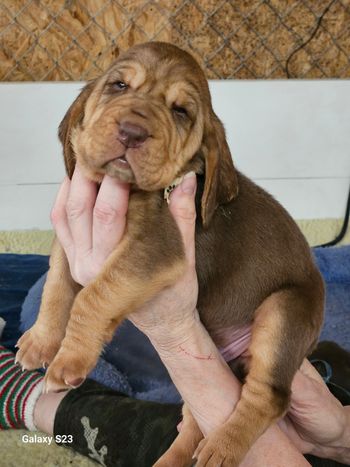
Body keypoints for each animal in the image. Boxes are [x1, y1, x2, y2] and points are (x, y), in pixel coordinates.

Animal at [15, 42, 322, 466]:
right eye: (118, 85)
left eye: (181, 112)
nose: (131, 133)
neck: (114, 185)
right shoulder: (70, 235)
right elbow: (57, 286)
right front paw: (40, 341)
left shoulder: (154, 249)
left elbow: (92, 297)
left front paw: (68, 362)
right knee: (197, 417)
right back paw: (175, 458)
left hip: (285, 311)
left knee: (270, 397)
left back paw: (222, 448)